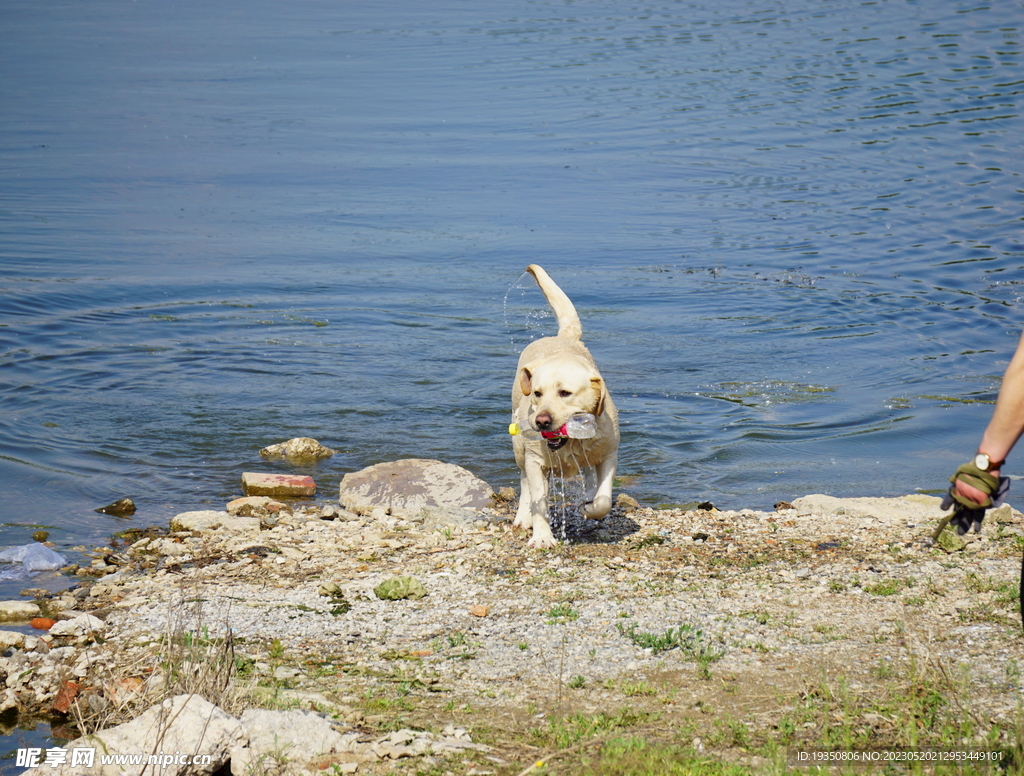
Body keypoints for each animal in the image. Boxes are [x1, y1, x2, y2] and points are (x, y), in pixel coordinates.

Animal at [509, 264, 614, 548]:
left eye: (565, 393)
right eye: (537, 393)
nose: (541, 421)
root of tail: (562, 337)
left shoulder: (609, 454)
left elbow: (603, 499)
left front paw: (589, 507)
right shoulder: (536, 461)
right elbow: (539, 501)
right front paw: (542, 537)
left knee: (589, 477)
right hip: (519, 448)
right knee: (524, 483)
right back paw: (523, 518)